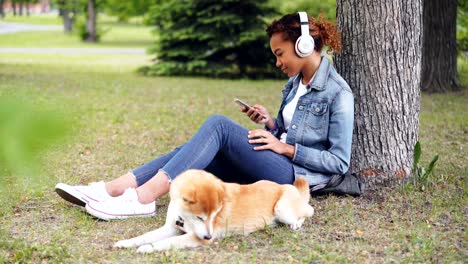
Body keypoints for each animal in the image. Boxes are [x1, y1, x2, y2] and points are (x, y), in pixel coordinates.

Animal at [113, 170, 312, 253]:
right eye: (200, 217)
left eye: (215, 216)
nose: (209, 237)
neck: (184, 218)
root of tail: (286, 186)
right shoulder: (171, 227)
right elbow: (145, 236)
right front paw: (126, 243)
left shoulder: (195, 237)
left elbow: (168, 242)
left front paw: (147, 248)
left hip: (282, 209)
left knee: (308, 211)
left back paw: (296, 224)